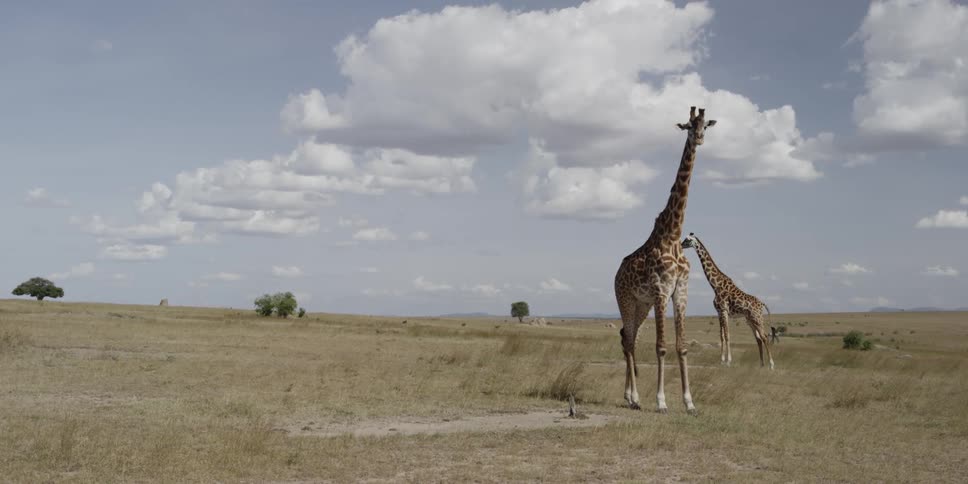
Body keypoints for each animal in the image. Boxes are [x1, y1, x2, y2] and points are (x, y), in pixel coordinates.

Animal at [614, 106, 715, 414]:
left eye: (706, 124)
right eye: (688, 126)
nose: (700, 138)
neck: (672, 234)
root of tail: (616, 274)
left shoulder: (679, 290)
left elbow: (681, 346)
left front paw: (689, 402)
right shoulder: (661, 290)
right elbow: (660, 346)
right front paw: (660, 402)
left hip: (641, 304)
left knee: (627, 337)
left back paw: (630, 396)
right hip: (626, 300)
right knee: (630, 341)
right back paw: (635, 399)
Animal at [681, 233, 775, 369]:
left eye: (687, 240)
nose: (681, 245)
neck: (715, 285)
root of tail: (762, 304)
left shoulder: (724, 310)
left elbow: (727, 335)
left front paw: (728, 361)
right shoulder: (719, 312)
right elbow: (721, 336)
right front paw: (721, 360)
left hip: (757, 318)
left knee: (765, 337)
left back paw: (771, 365)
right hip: (750, 320)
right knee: (758, 338)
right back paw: (761, 364)